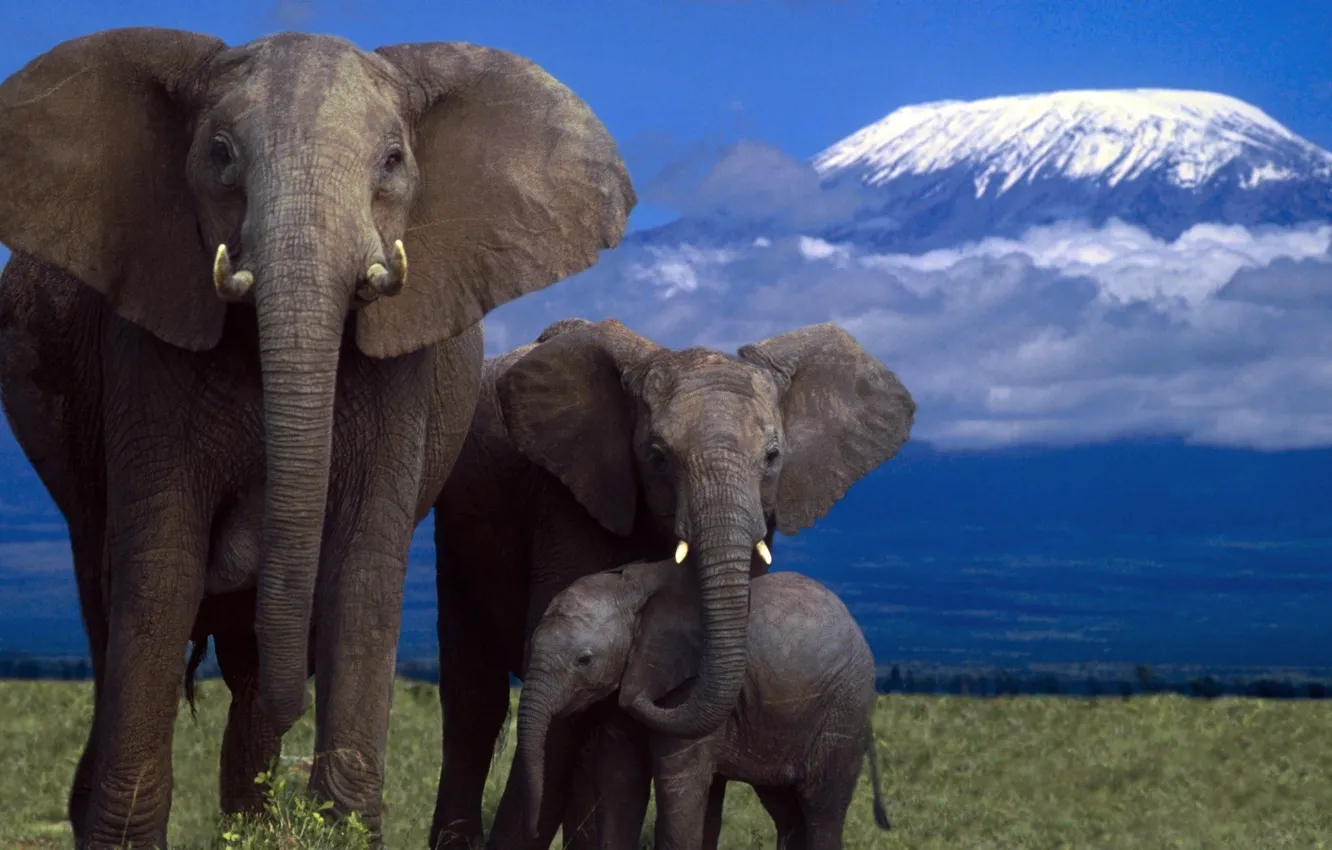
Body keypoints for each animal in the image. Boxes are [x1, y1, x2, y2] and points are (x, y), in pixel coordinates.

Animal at [0, 27, 633, 848]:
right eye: (222, 154)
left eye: (392, 161)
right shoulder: (146, 339)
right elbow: (161, 565)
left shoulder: (403, 371)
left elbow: (362, 568)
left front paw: (338, 828)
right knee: (106, 600)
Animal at [509, 558, 892, 850]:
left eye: (584, 660)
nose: (532, 829)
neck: (630, 588)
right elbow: (619, 780)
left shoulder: (686, 683)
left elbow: (678, 783)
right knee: (786, 809)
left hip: (844, 710)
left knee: (821, 809)